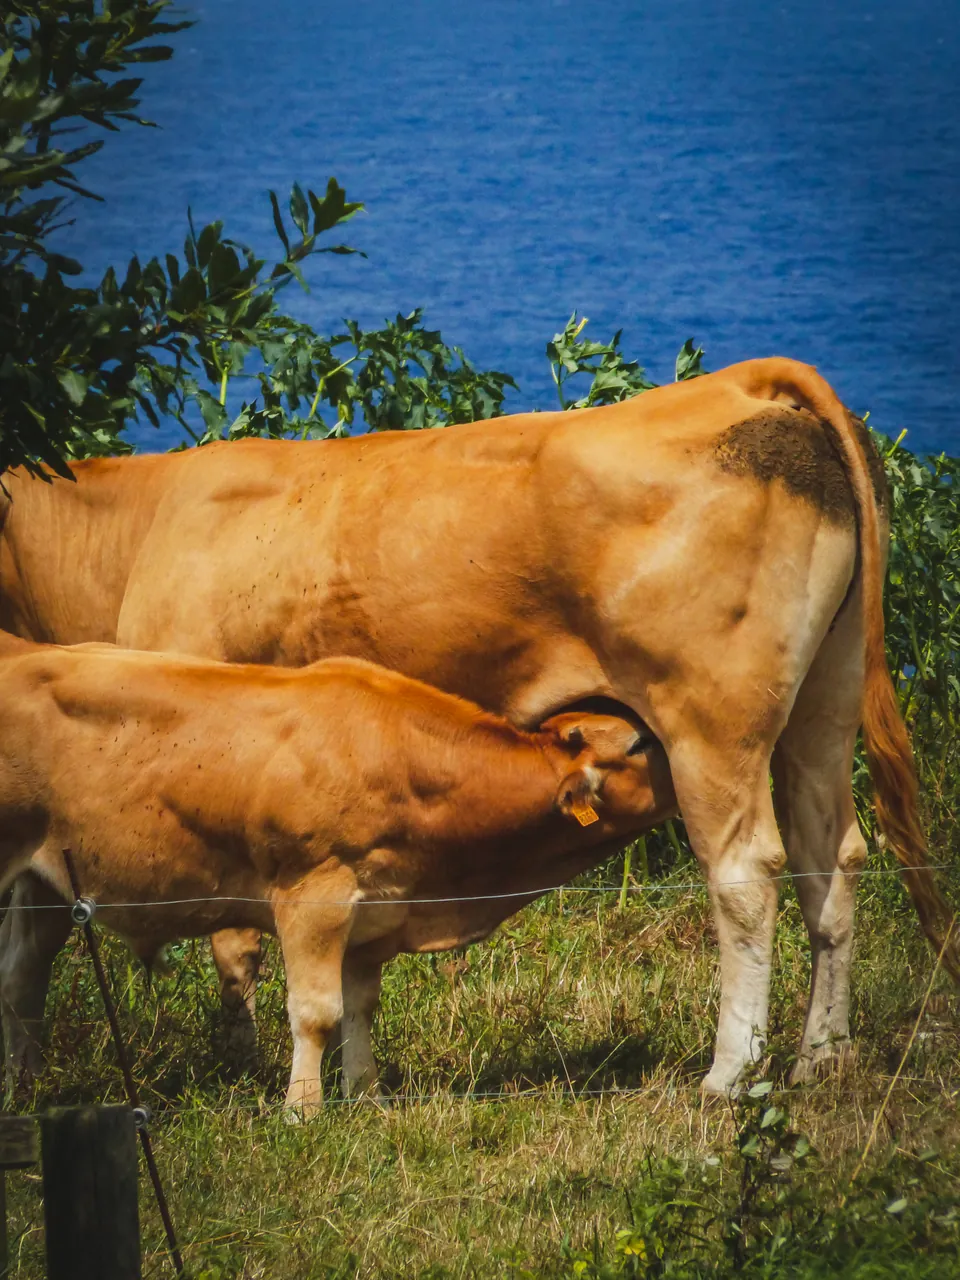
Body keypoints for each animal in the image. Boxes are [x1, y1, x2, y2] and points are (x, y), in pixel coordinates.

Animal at [0, 633, 675, 1111]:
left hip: (45, 885)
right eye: (638, 745)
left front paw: (366, 1096)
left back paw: (25, 1087)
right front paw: (303, 1110)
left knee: (20, 980)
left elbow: (359, 1008)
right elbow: (316, 1011)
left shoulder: (375, 915)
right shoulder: (314, 895)